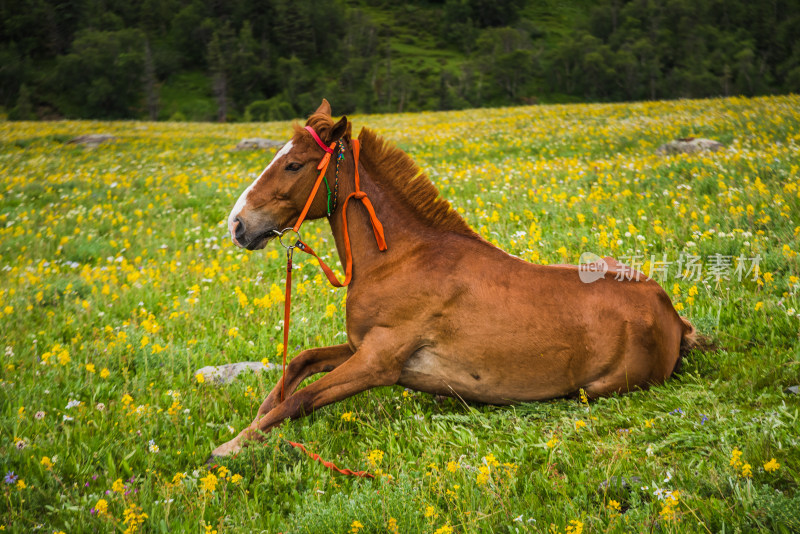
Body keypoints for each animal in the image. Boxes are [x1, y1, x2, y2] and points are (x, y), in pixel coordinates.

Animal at [216, 102, 696, 458]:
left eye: (294, 165)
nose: (238, 224)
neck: (403, 259)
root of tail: (670, 313)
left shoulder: (378, 361)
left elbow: (301, 398)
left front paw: (231, 448)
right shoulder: (360, 346)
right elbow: (300, 364)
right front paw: (250, 425)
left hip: (598, 389)